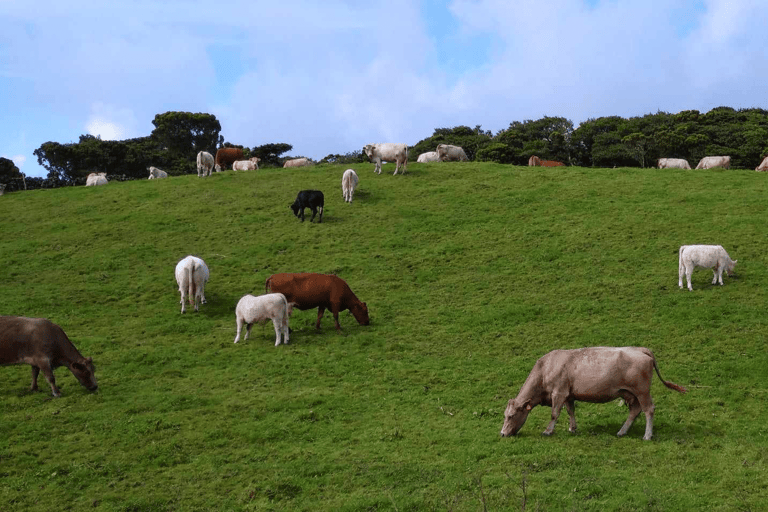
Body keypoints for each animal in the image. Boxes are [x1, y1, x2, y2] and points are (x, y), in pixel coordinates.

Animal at [500, 346, 688, 442]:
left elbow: (554, 414)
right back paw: (622, 432)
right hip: (629, 393)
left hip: (642, 391)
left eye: (510, 416)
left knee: (649, 409)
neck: (546, 368)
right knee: (635, 411)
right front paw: (572, 428)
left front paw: (548, 431)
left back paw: (647, 435)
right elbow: (570, 411)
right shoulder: (568, 395)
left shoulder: (558, 392)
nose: (502, 433)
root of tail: (641, 349)